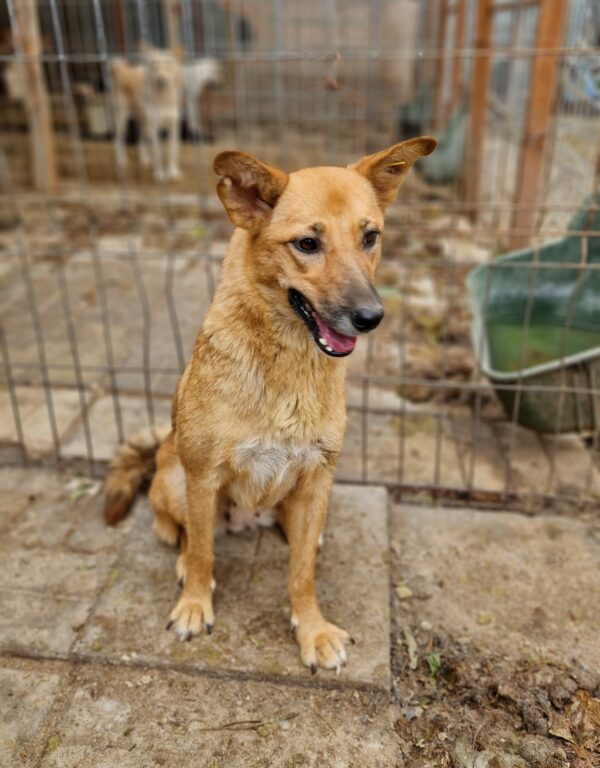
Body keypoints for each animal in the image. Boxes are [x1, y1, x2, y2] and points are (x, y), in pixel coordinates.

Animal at [105, 136, 436, 672]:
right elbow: (203, 552)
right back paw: (177, 547)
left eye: (370, 237)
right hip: (176, 478)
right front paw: (195, 604)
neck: (289, 367)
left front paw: (313, 631)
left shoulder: (317, 478)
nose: (371, 317)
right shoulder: (203, 479)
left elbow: (302, 573)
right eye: (307, 244)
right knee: (183, 529)